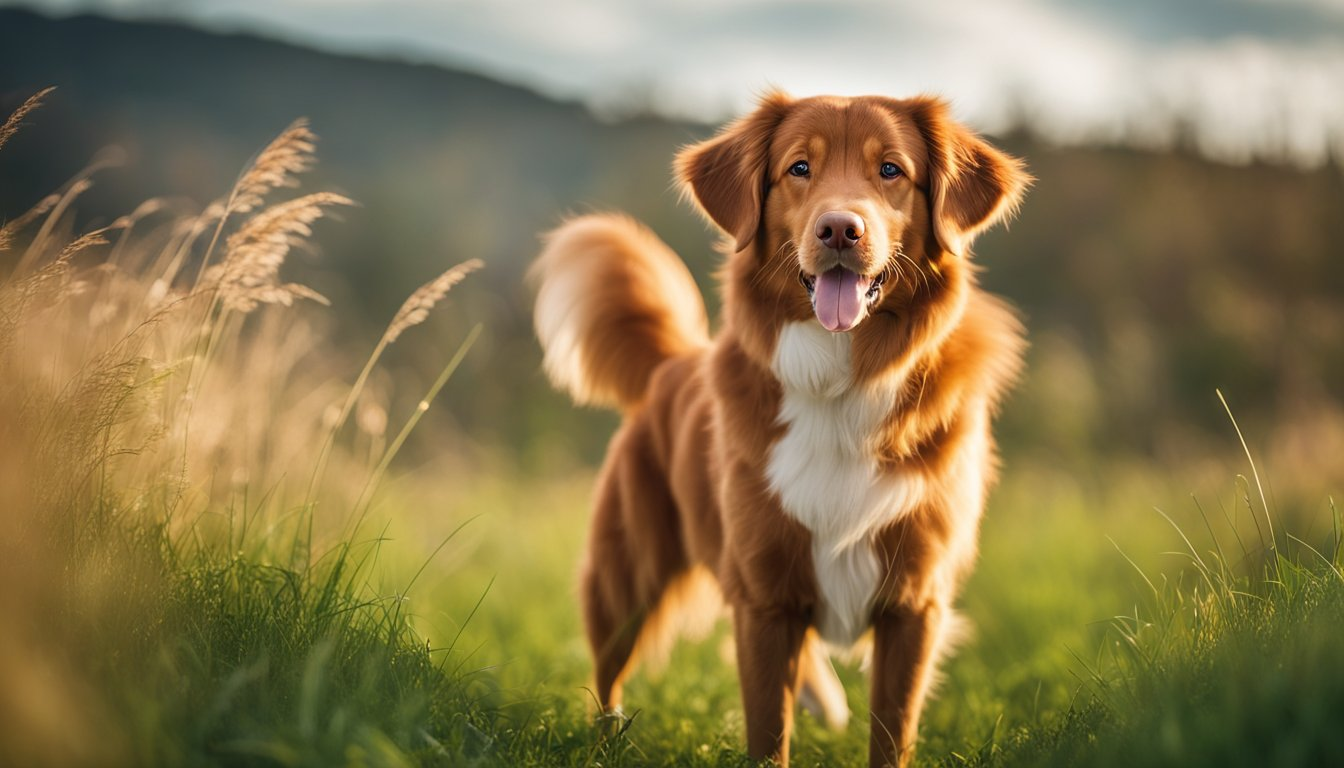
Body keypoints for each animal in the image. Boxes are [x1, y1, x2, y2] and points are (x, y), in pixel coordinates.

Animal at [526, 93, 1026, 763]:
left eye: (891, 170)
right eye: (799, 168)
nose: (839, 229)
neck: (842, 380)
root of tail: (672, 363)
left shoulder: (914, 603)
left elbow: (892, 732)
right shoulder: (762, 598)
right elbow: (768, 731)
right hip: (625, 577)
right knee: (608, 674)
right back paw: (604, 742)